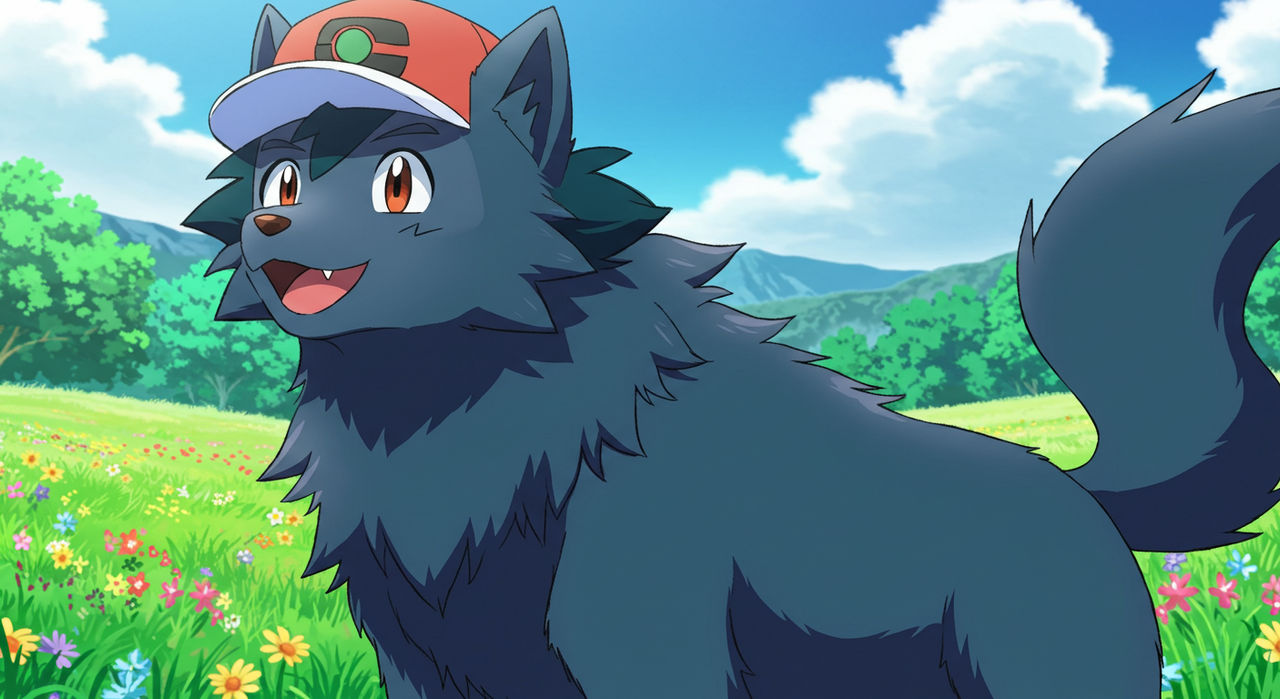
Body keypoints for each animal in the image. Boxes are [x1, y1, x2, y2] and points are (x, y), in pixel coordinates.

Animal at [187, 1, 1280, 697]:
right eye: (280, 179)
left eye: (400, 182)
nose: (274, 227)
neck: (446, 409)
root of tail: (1078, 489)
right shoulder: (421, 662)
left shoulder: (644, 642)